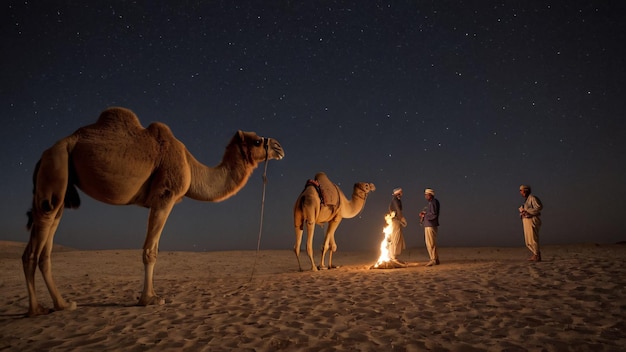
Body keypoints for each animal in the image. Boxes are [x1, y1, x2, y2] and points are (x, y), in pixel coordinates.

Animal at [22, 106, 284, 316]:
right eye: (257, 141)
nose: (279, 147)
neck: (191, 167)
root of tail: (46, 153)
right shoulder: (164, 196)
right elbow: (151, 250)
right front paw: (150, 299)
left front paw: (149, 296)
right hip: (55, 167)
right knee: (33, 250)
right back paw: (35, 310)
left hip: (61, 184)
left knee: (46, 247)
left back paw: (63, 304)